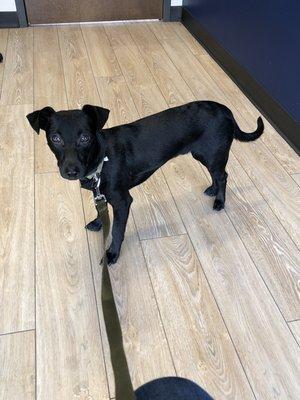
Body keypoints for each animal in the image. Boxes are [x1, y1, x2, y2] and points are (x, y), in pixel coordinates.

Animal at [27, 101, 264, 262]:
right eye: (55, 139)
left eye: (85, 138)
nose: (71, 171)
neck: (102, 158)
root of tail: (225, 110)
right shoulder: (100, 193)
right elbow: (100, 210)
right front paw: (97, 222)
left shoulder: (122, 201)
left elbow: (117, 230)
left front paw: (112, 254)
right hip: (203, 155)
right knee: (217, 176)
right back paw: (213, 190)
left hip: (213, 154)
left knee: (223, 175)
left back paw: (220, 201)